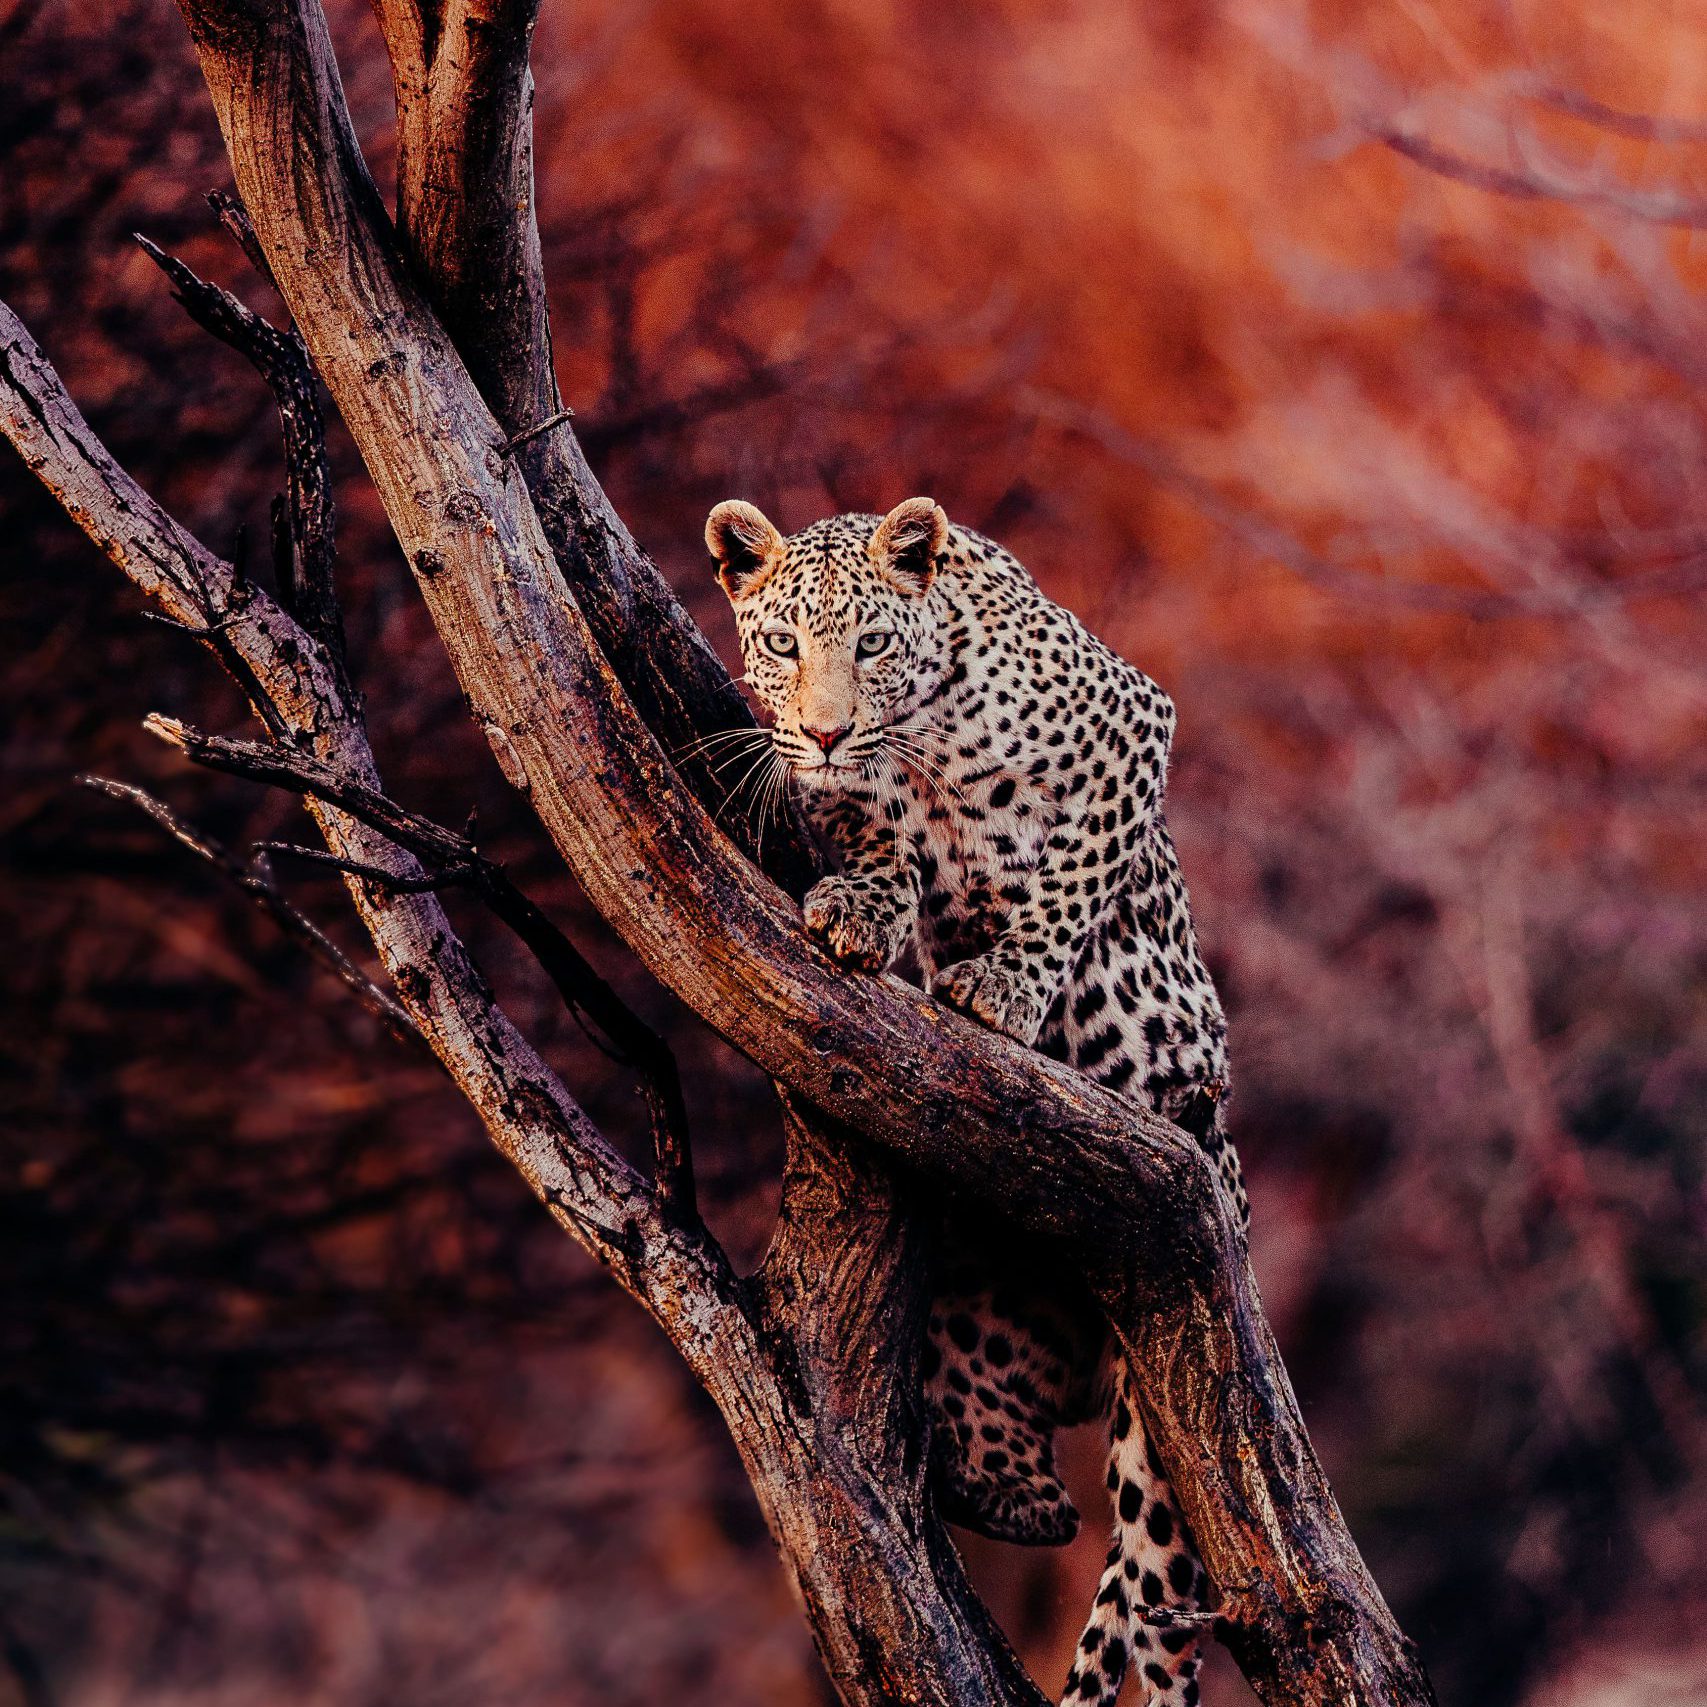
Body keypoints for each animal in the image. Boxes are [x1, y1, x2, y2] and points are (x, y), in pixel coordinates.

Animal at [705, 495, 1249, 1707]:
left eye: (871, 643)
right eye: (783, 645)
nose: (822, 731)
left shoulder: (1132, 726)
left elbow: (1070, 876)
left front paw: (1004, 984)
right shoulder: (853, 794)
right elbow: (874, 833)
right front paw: (864, 908)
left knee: (1149, 1591)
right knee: (1031, 1504)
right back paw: (993, 1486)